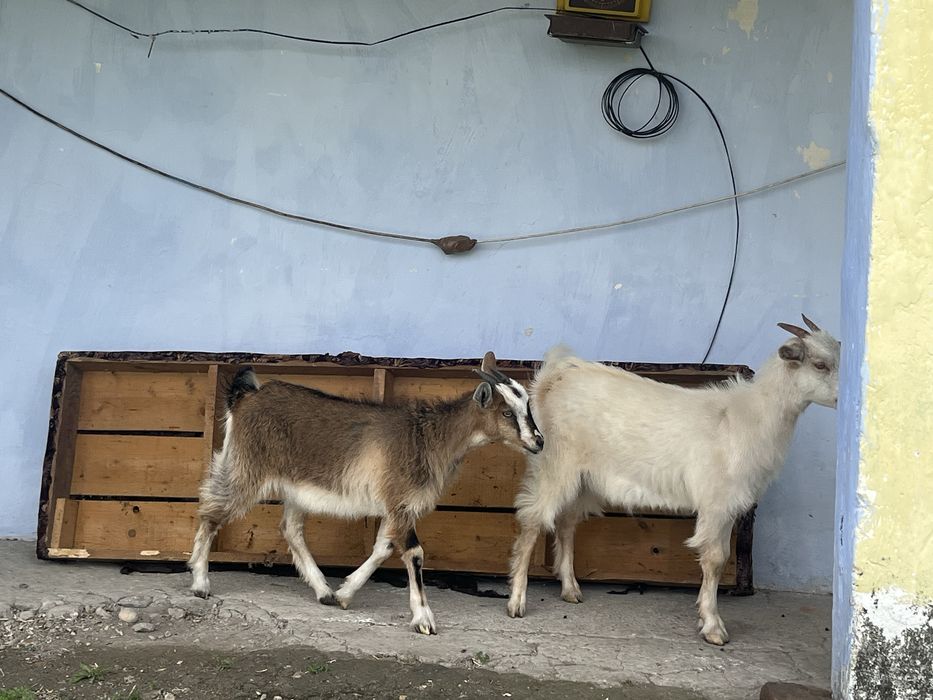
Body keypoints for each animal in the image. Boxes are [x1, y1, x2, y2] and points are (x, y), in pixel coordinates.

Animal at [188, 352, 543, 635]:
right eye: (507, 412)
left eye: (526, 405)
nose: (539, 442)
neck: (426, 438)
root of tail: (246, 397)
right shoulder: (400, 500)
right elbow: (414, 553)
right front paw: (424, 619)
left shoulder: (396, 506)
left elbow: (384, 548)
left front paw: (345, 593)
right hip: (247, 467)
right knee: (211, 511)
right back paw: (200, 583)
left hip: (295, 488)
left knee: (290, 529)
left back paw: (324, 591)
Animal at [506, 315, 839, 645]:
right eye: (820, 364)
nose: (843, 397)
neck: (750, 417)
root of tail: (554, 375)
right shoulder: (716, 501)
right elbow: (715, 559)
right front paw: (713, 626)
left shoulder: (729, 503)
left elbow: (723, 557)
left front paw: (706, 618)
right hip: (554, 465)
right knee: (533, 520)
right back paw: (517, 602)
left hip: (583, 479)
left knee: (566, 523)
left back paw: (571, 589)